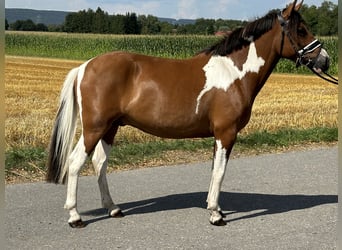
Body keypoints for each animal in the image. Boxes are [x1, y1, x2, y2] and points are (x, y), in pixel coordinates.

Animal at [46, 0, 330, 228]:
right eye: (301, 30)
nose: (325, 60)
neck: (234, 73)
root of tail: (85, 66)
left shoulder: (219, 135)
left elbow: (214, 170)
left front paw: (216, 208)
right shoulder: (226, 133)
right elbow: (220, 171)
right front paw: (215, 215)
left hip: (111, 127)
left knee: (99, 163)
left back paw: (114, 209)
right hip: (94, 128)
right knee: (75, 163)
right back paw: (75, 217)